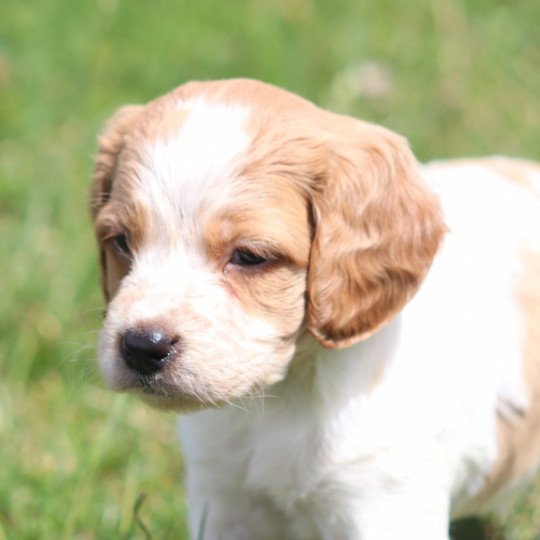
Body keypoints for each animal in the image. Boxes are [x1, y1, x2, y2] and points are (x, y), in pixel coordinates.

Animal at [90, 78, 540, 536]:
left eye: (249, 256)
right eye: (121, 241)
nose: (142, 346)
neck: (284, 396)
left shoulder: (381, 501)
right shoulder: (222, 497)